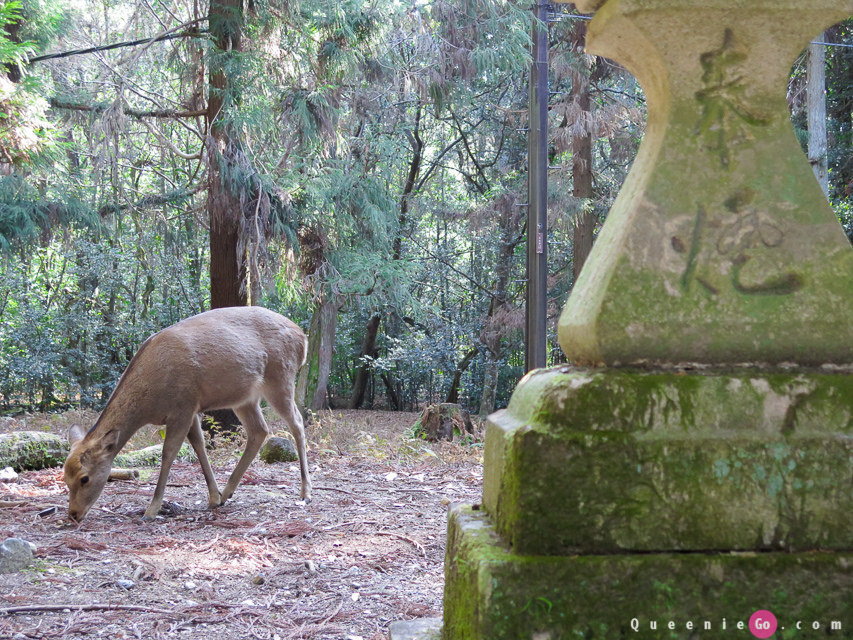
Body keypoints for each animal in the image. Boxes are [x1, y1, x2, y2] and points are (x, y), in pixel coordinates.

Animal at [63, 308, 312, 524]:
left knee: (297, 423)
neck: (149, 403)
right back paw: (228, 492)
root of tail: (303, 338)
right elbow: (198, 445)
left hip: (280, 378)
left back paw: (305, 492)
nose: (73, 514)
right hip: (244, 398)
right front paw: (214, 497)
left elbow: (168, 453)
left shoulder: (182, 406)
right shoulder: (191, 408)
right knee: (259, 430)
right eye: (65, 478)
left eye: (84, 478)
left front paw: (151, 510)